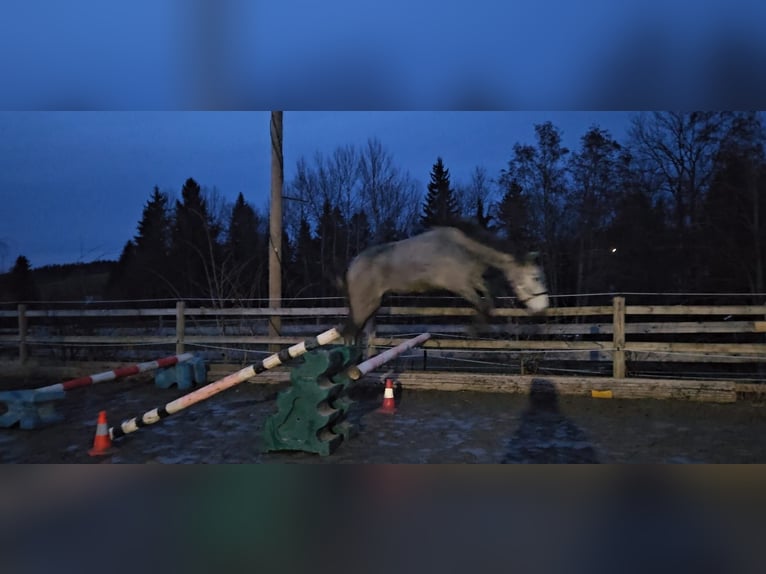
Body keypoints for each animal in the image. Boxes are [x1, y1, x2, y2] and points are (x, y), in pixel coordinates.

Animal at [340, 224, 548, 342]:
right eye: (536, 277)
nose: (542, 308)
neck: (463, 249)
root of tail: (353, 265)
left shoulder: (474, 280)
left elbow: (489, 298)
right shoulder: (460, 285)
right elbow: (481, 304)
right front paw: (473, 330)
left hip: (374, 305)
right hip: (364, 304)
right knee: (349, 334)